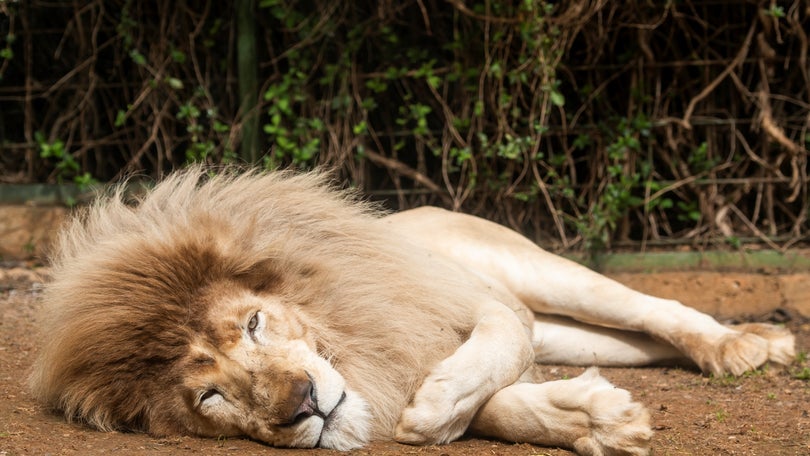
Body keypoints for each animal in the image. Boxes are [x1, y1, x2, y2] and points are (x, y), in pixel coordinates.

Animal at [28, 168, 792, 456]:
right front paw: (598, 420)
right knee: (631, 342)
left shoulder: (482, 304)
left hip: (532, 273)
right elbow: (503, 408)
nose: (304, 404)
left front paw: (438, 402)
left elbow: (495, 350)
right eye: (210, 398)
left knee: (650, 307)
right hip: (580, 334)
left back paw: (745, 347)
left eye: (253, 324)